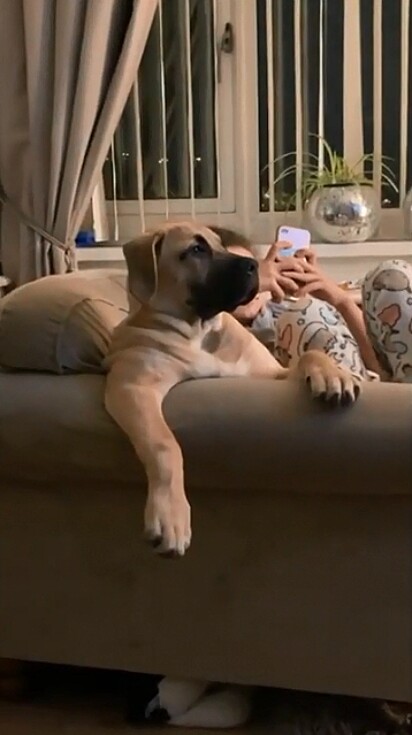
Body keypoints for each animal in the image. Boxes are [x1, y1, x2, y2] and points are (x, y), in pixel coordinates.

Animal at [105, 224, 360, 556]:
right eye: (196, 250)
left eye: (220, 245)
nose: (254, 266)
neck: (201, 332)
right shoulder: (133, 386)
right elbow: (164, 444)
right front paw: (170, 514)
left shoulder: (270, 375)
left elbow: (310, 355)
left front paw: (333, 375)